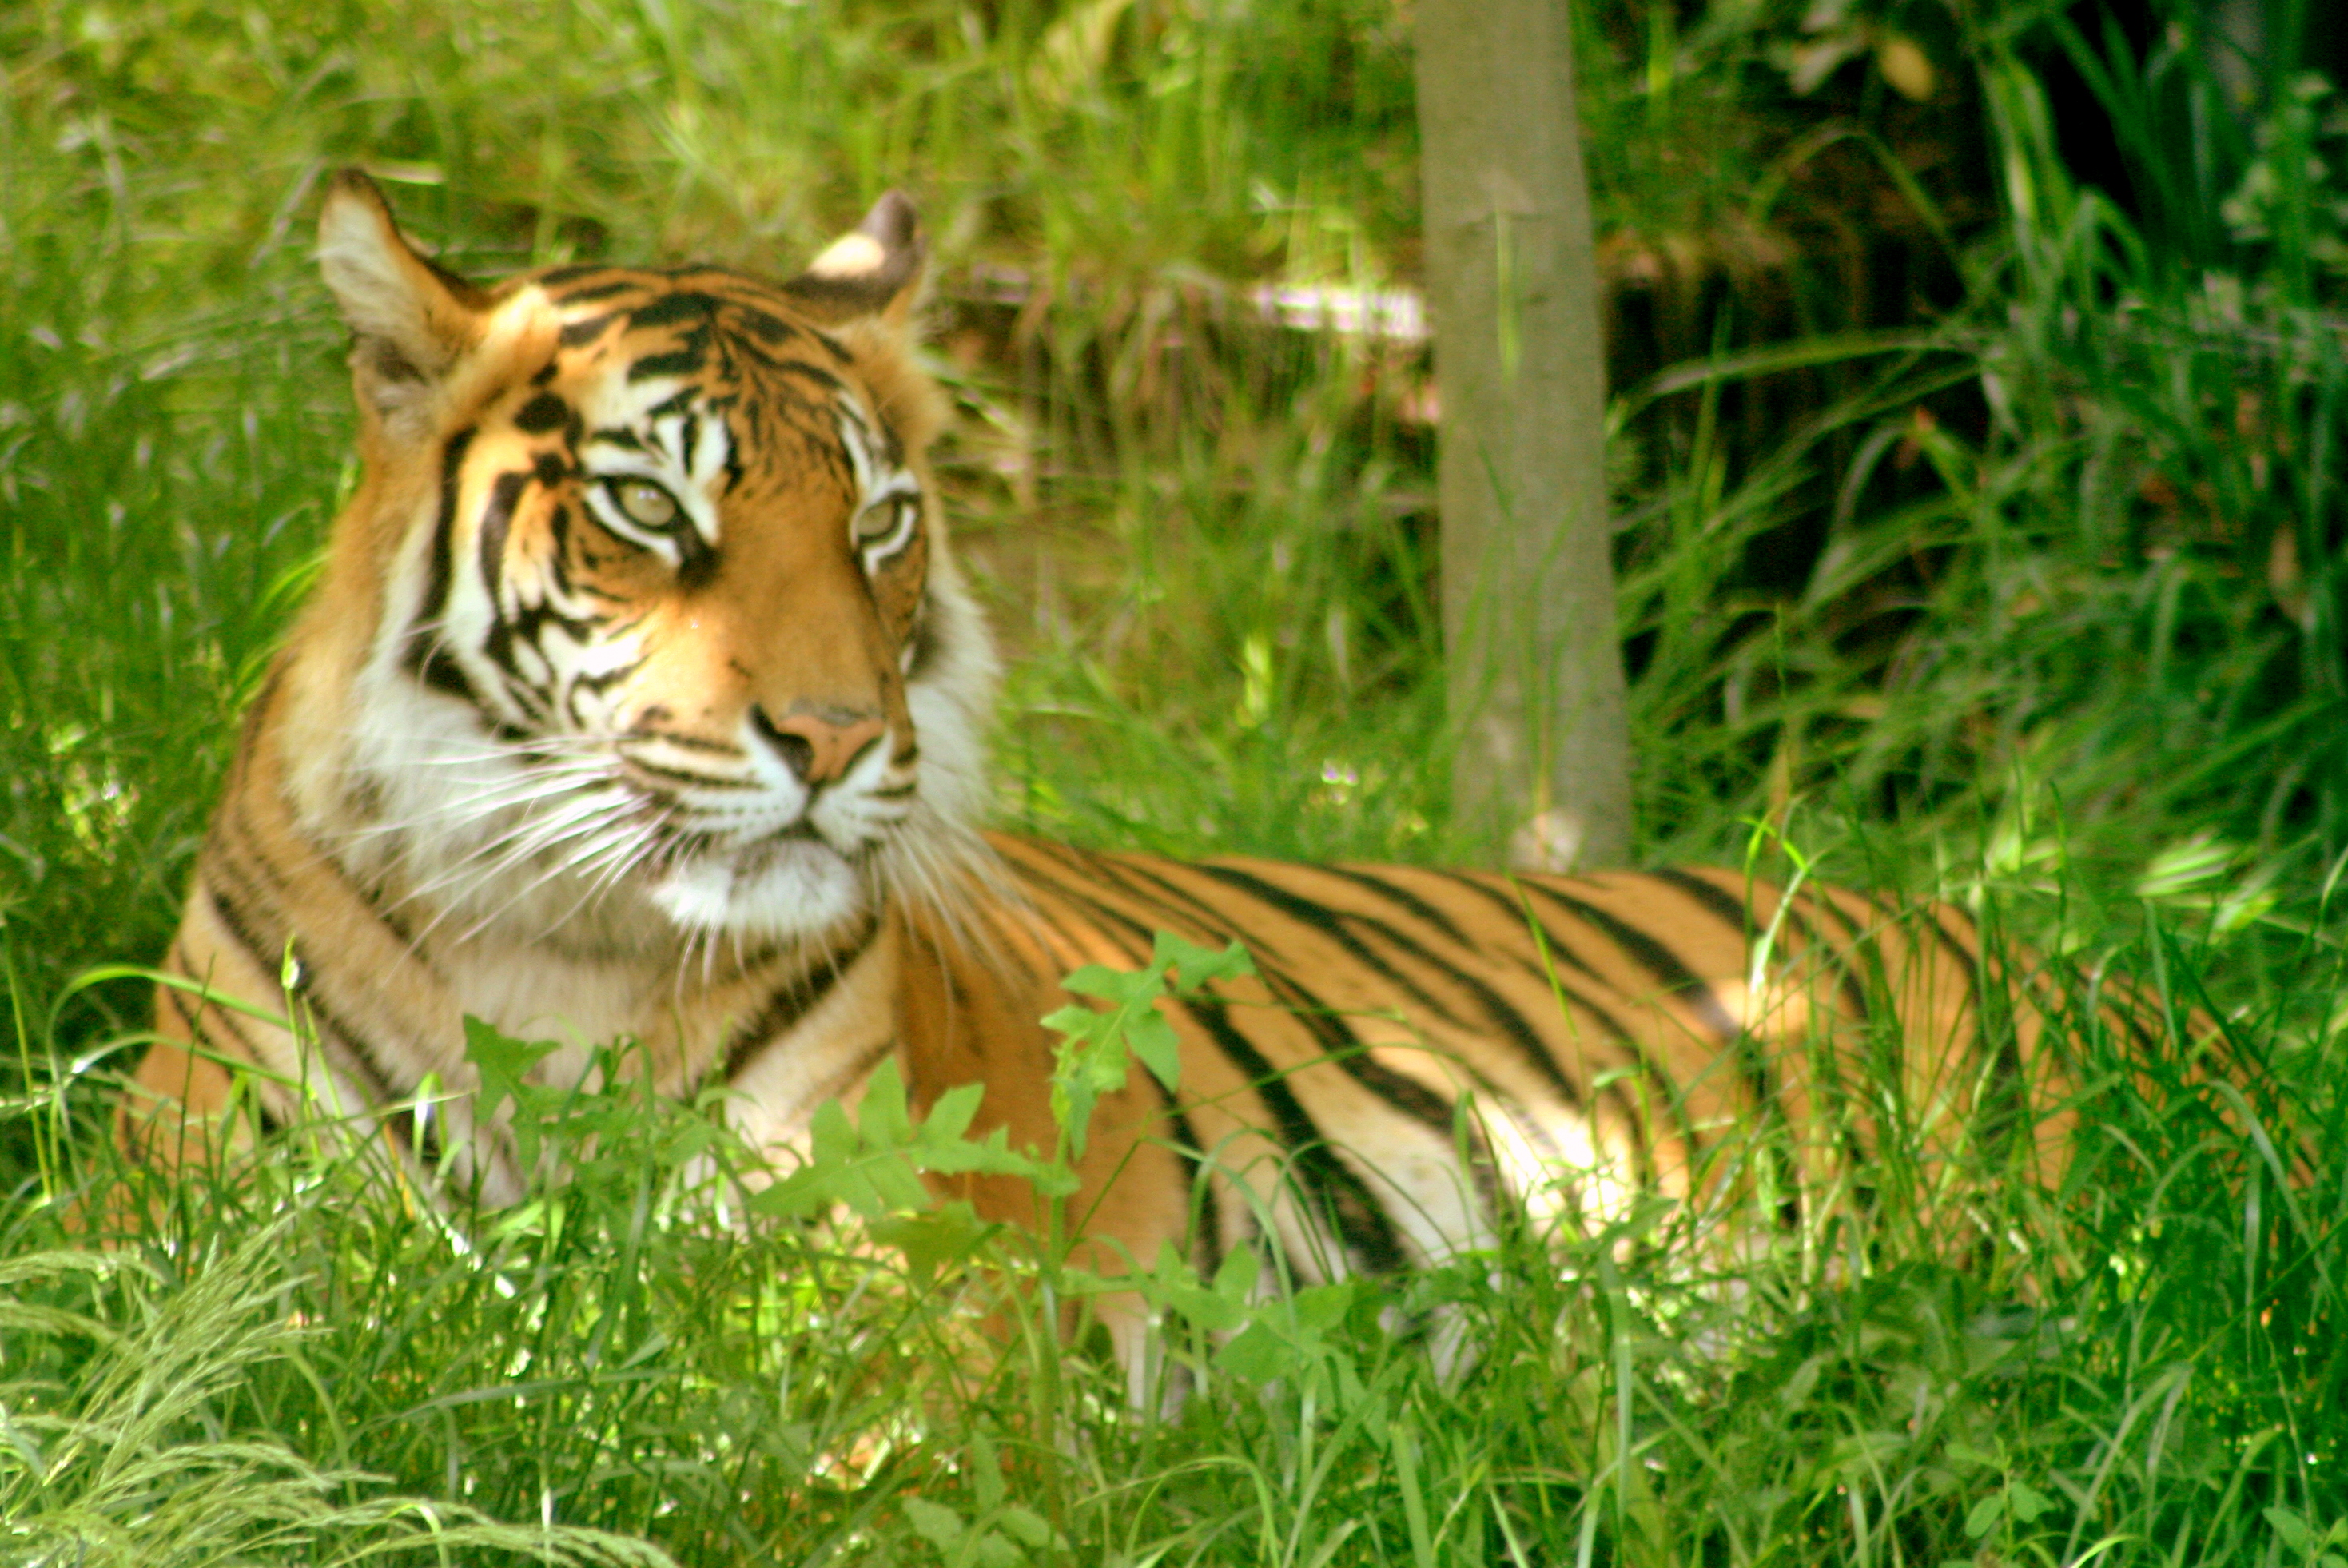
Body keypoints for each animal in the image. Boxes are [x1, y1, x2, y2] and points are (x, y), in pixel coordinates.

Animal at [123, 171, 2097, 1373]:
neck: (556, 952)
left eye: (878, 526)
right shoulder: (179, 1225)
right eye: (649, 511)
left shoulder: (891, 1285)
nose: (837, 741)